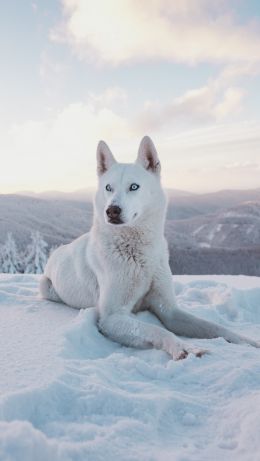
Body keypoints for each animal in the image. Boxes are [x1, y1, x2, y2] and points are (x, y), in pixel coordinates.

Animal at [39, 137, 258, 360]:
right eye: (108, 187)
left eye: (134, 186)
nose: (111, 210)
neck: (138, 253)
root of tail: (58, 251)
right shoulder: (112, 317)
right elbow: (158, 330)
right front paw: (184, 347)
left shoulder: (169, 310)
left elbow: (214, 327)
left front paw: (248, 342)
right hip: (46, 287)